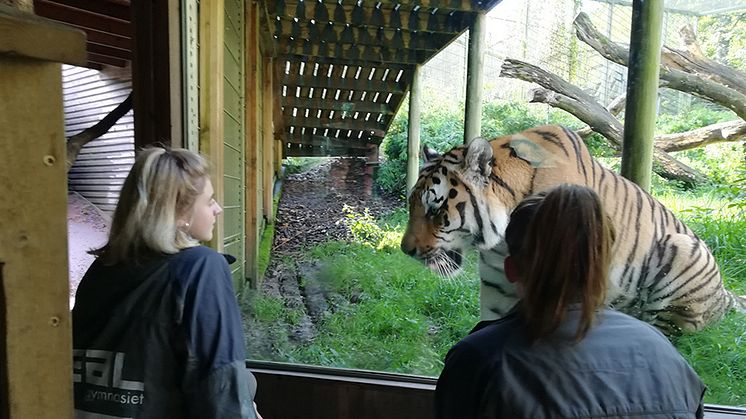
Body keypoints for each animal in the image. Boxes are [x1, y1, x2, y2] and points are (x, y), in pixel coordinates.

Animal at [402, 124, 744, 334]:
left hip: (682, 251)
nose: (406, 251)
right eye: (412, 204)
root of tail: (723, 293)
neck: (499, 243)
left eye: (435, 209)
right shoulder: (497, 284)